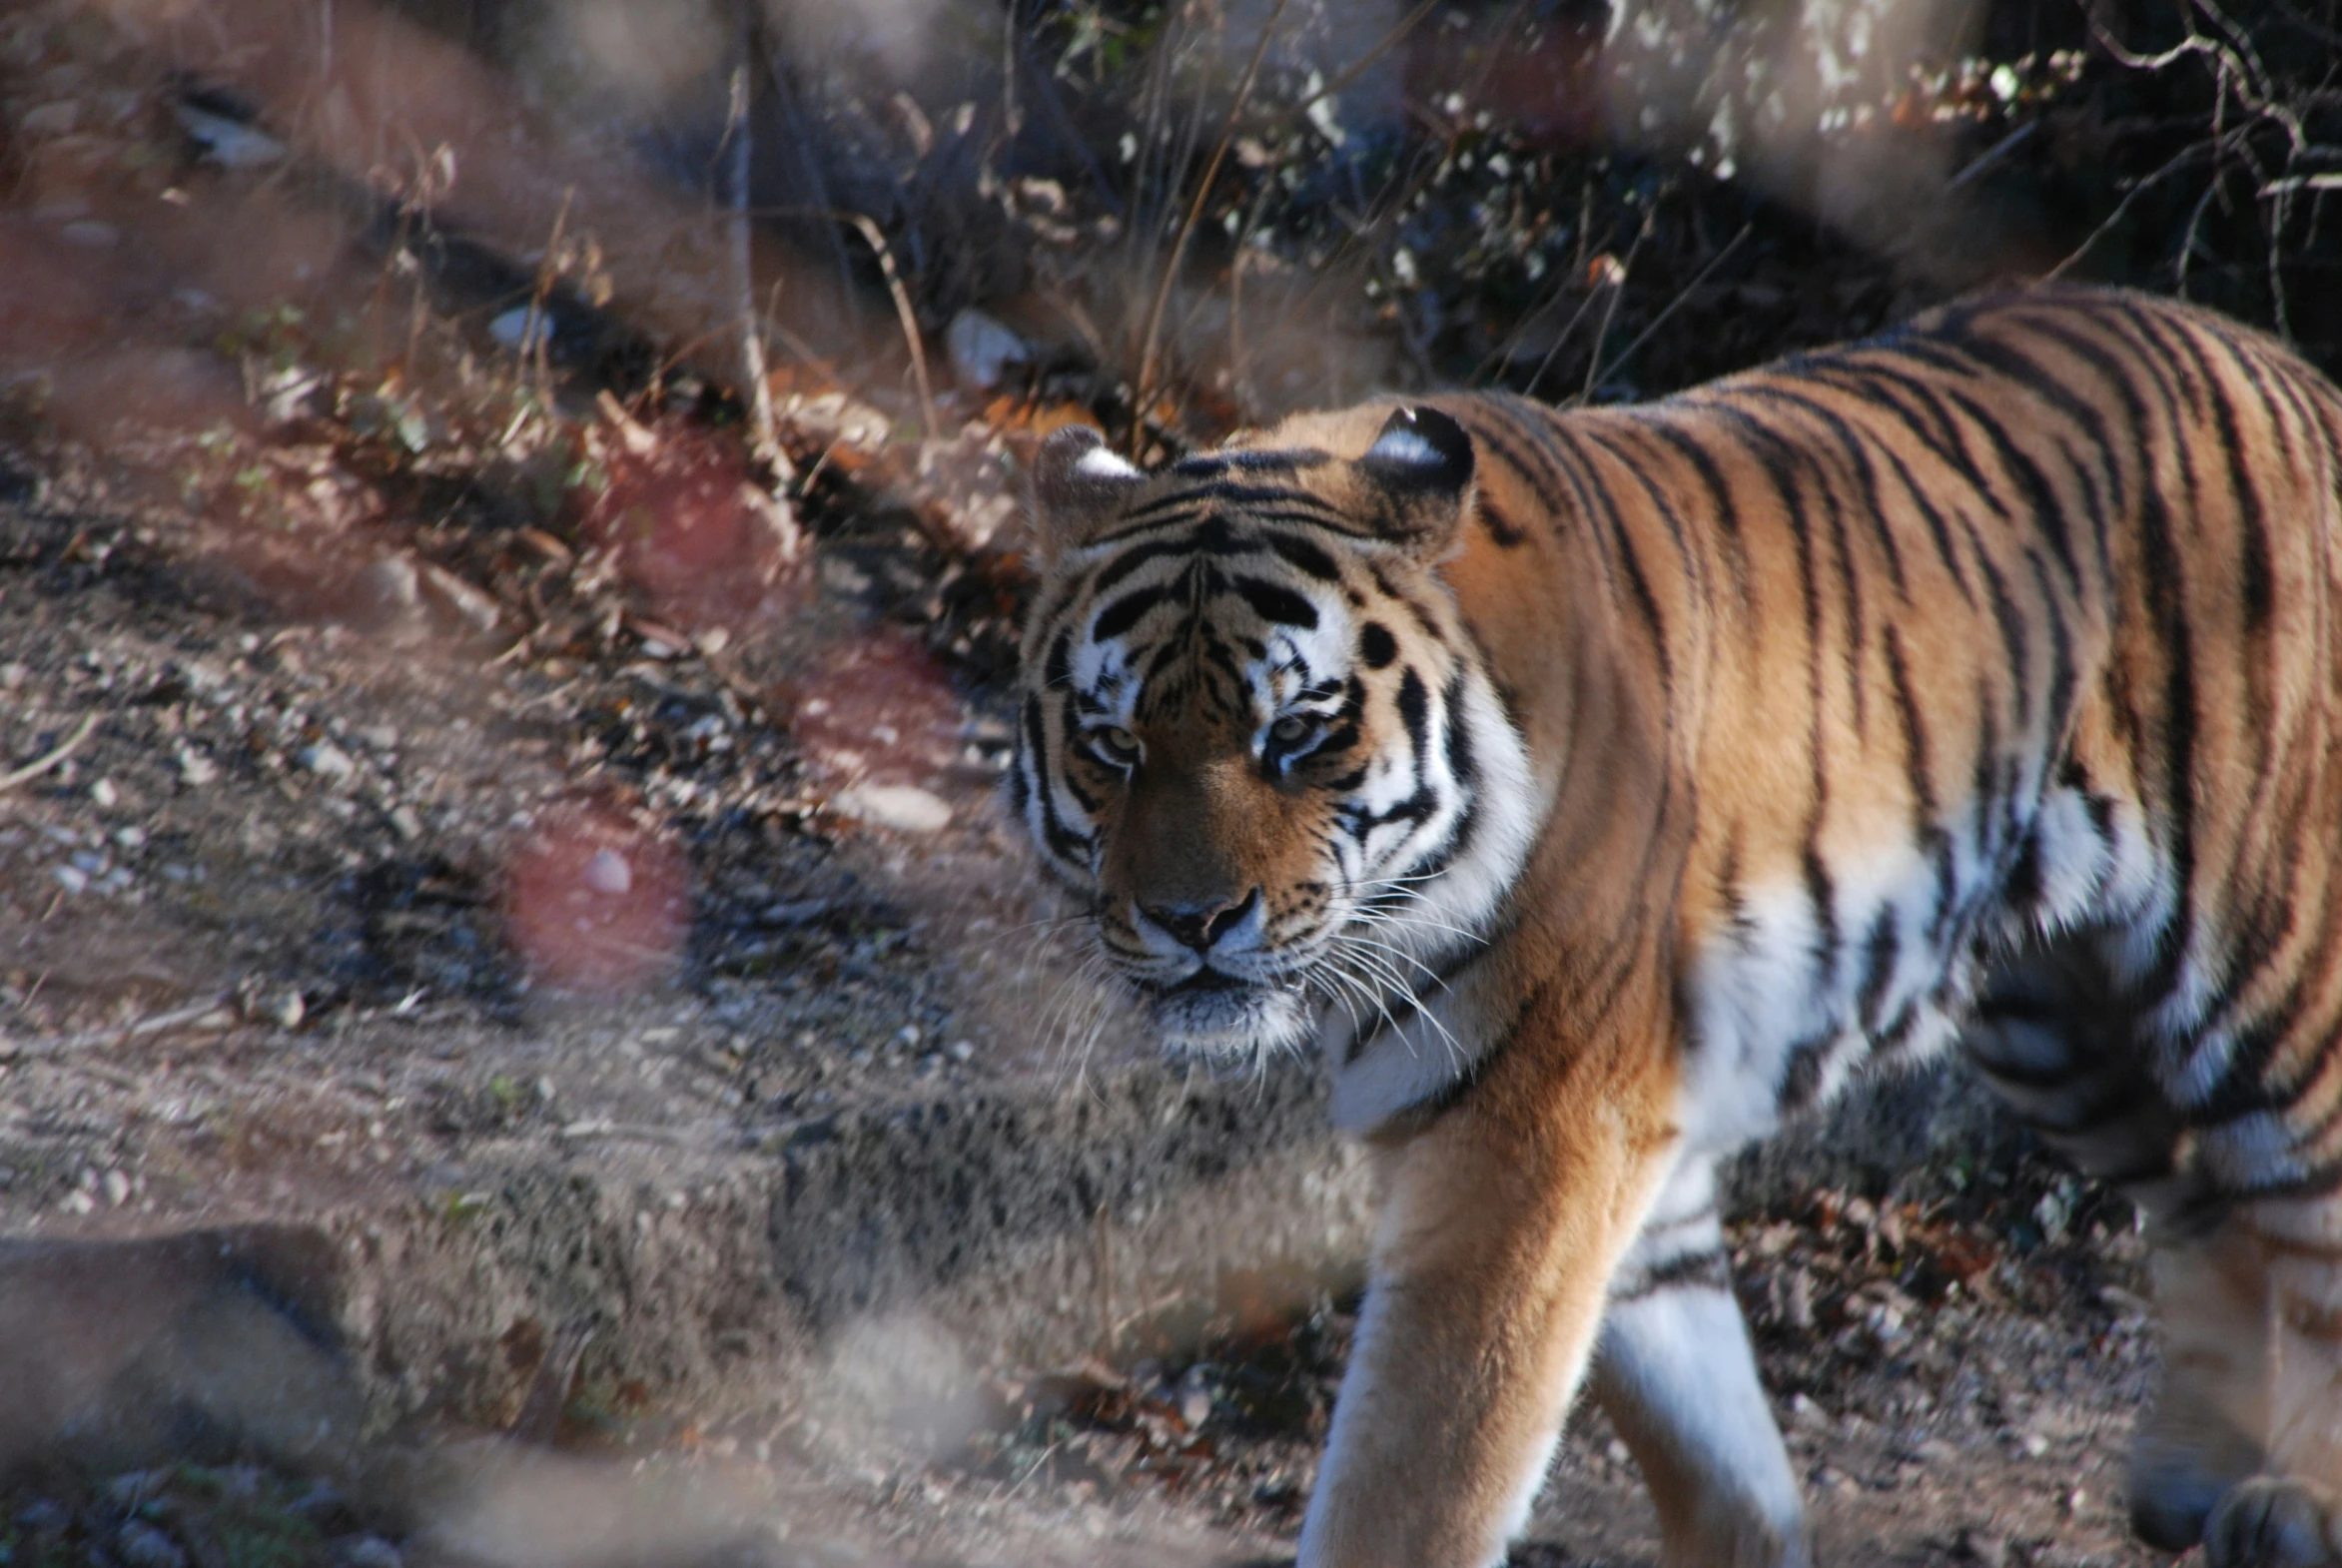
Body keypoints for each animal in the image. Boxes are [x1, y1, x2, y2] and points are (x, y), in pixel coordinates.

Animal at [1012, 285, 2342, 1568]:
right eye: (1113, 744)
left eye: (1293, 733)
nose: (1190, 918)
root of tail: (2287, 369)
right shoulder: (1622, 1152)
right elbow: (1709, 1445)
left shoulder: (1528, 1137)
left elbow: (1415, 1487)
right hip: (2047, 1018)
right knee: (2199, 1203)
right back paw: (2186, 1476)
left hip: (2261, 967)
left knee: (2303, 1196)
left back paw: (2293, 1504)